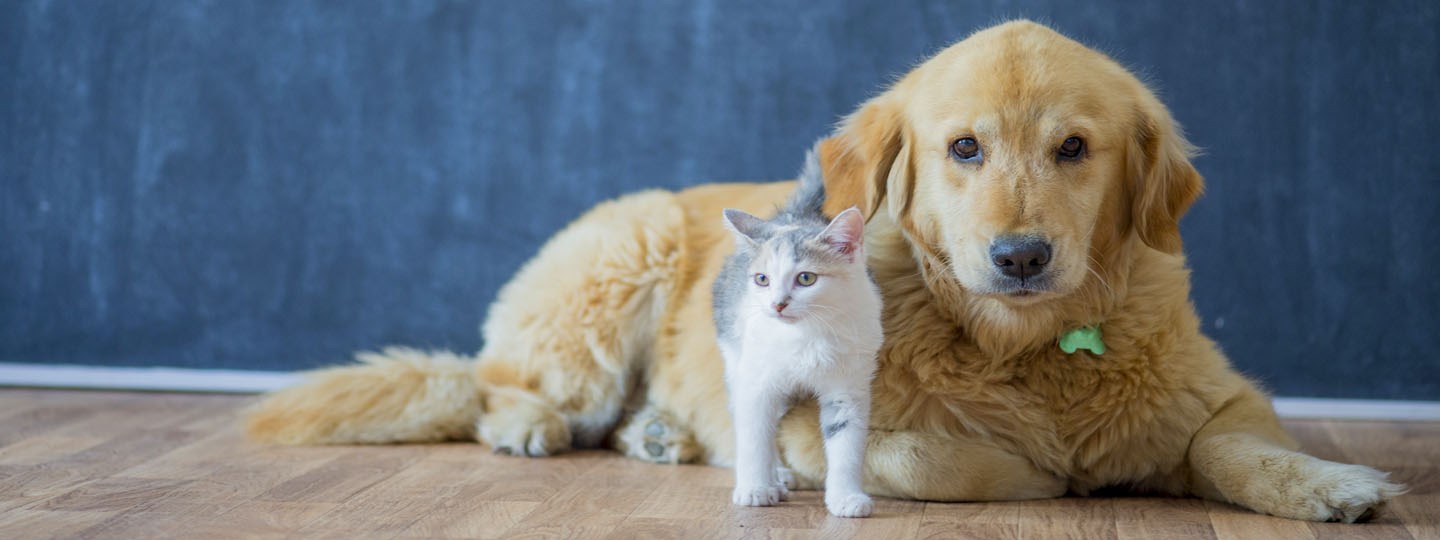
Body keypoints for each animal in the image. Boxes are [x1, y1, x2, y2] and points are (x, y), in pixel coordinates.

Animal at [708, 146, 875, 518]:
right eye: (762, 279)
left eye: (806, 278)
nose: (777, 304)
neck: (805, 336)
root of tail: (791, 214)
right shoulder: (756, 381)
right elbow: (754, 437)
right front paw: (755, 488)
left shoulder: (848, 388)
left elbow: (846, 445)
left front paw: (846, 497)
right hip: (736, 358)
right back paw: (776, 476)